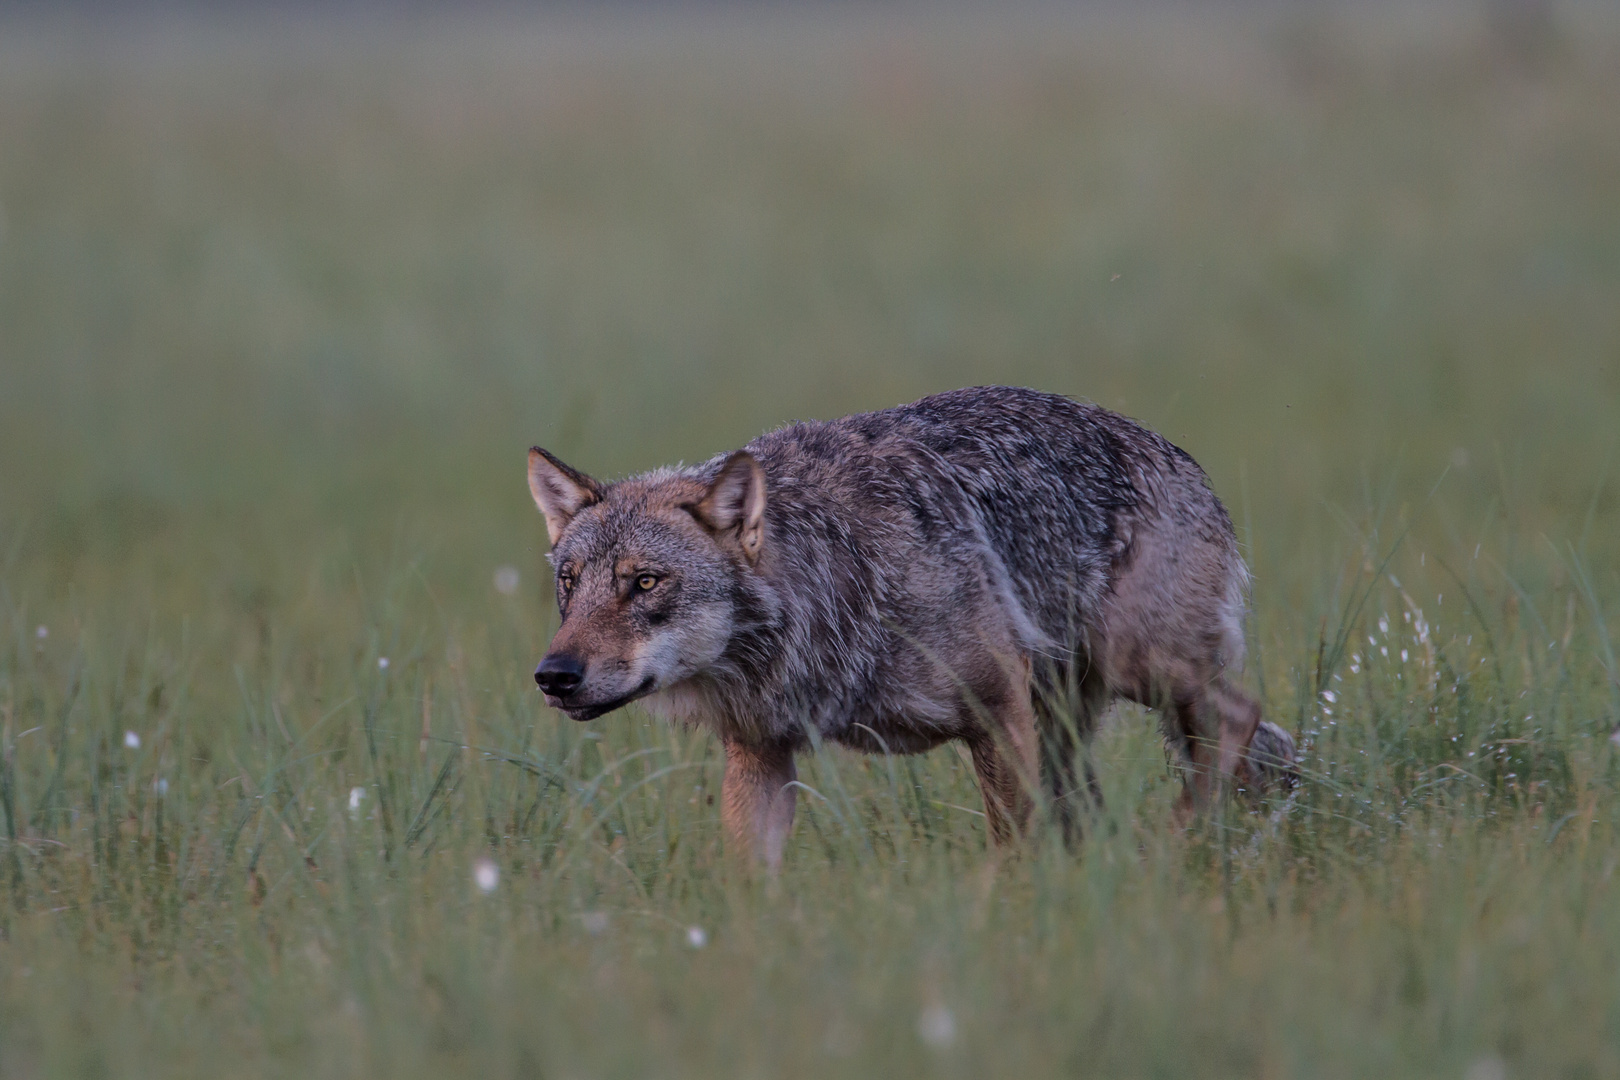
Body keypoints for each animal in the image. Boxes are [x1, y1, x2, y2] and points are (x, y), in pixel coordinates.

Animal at [524, 383, 1296, 867]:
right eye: (570, 584)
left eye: (645, 583)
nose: (553, 677)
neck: (835, 585)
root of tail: (1185, 461)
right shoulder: (760, 755)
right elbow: (749, 889)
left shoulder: (996, 715)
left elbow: (1011, 856)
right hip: (1069, 727)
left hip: (1133, 671)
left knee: (1240, 719)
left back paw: (1167, 847)